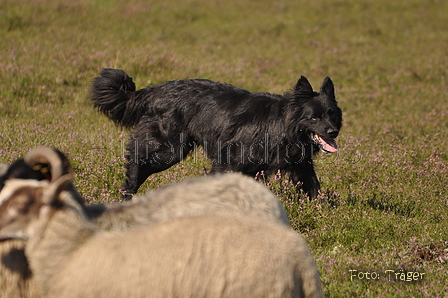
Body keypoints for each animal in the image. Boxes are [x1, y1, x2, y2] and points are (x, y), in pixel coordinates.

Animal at [91, 69, 344, 200]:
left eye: (331, 114)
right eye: (314, 118)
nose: (334, 131)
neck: (283, 125)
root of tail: (154, 90)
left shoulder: (300, 166)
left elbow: (314, 188)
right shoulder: (228, 161)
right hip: (169, 149)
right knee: (136, 157)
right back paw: (128, 190)